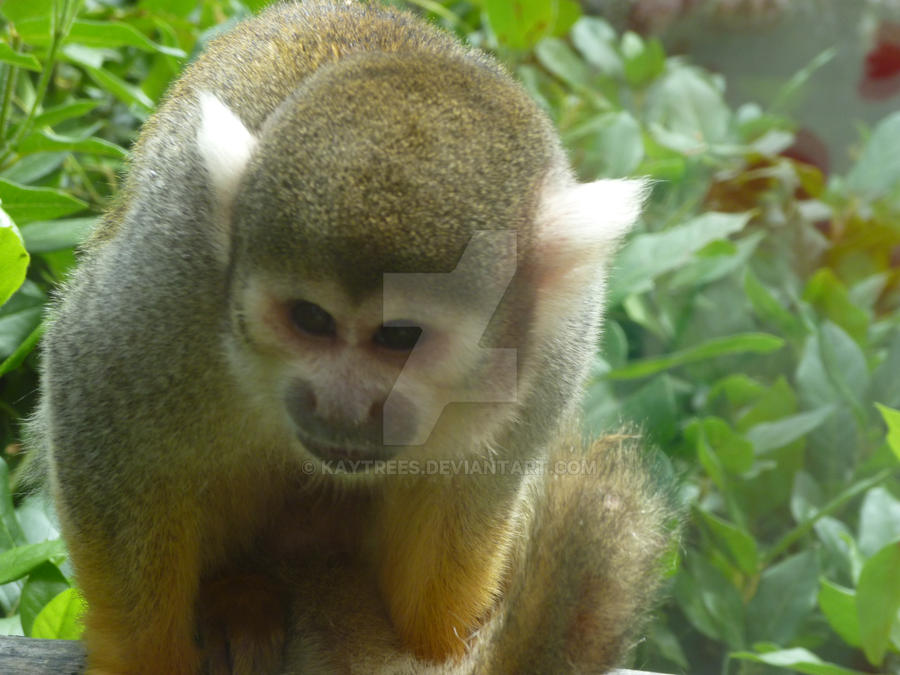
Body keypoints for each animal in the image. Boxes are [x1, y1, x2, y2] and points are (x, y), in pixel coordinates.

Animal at [23, 1, 673, 673]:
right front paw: (144, 656)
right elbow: (100, 410)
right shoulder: (170, 271)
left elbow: (465, 496)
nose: (340, 405)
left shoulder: (556, 346)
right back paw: (238, 594)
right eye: (311, 320)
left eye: (401, 336)